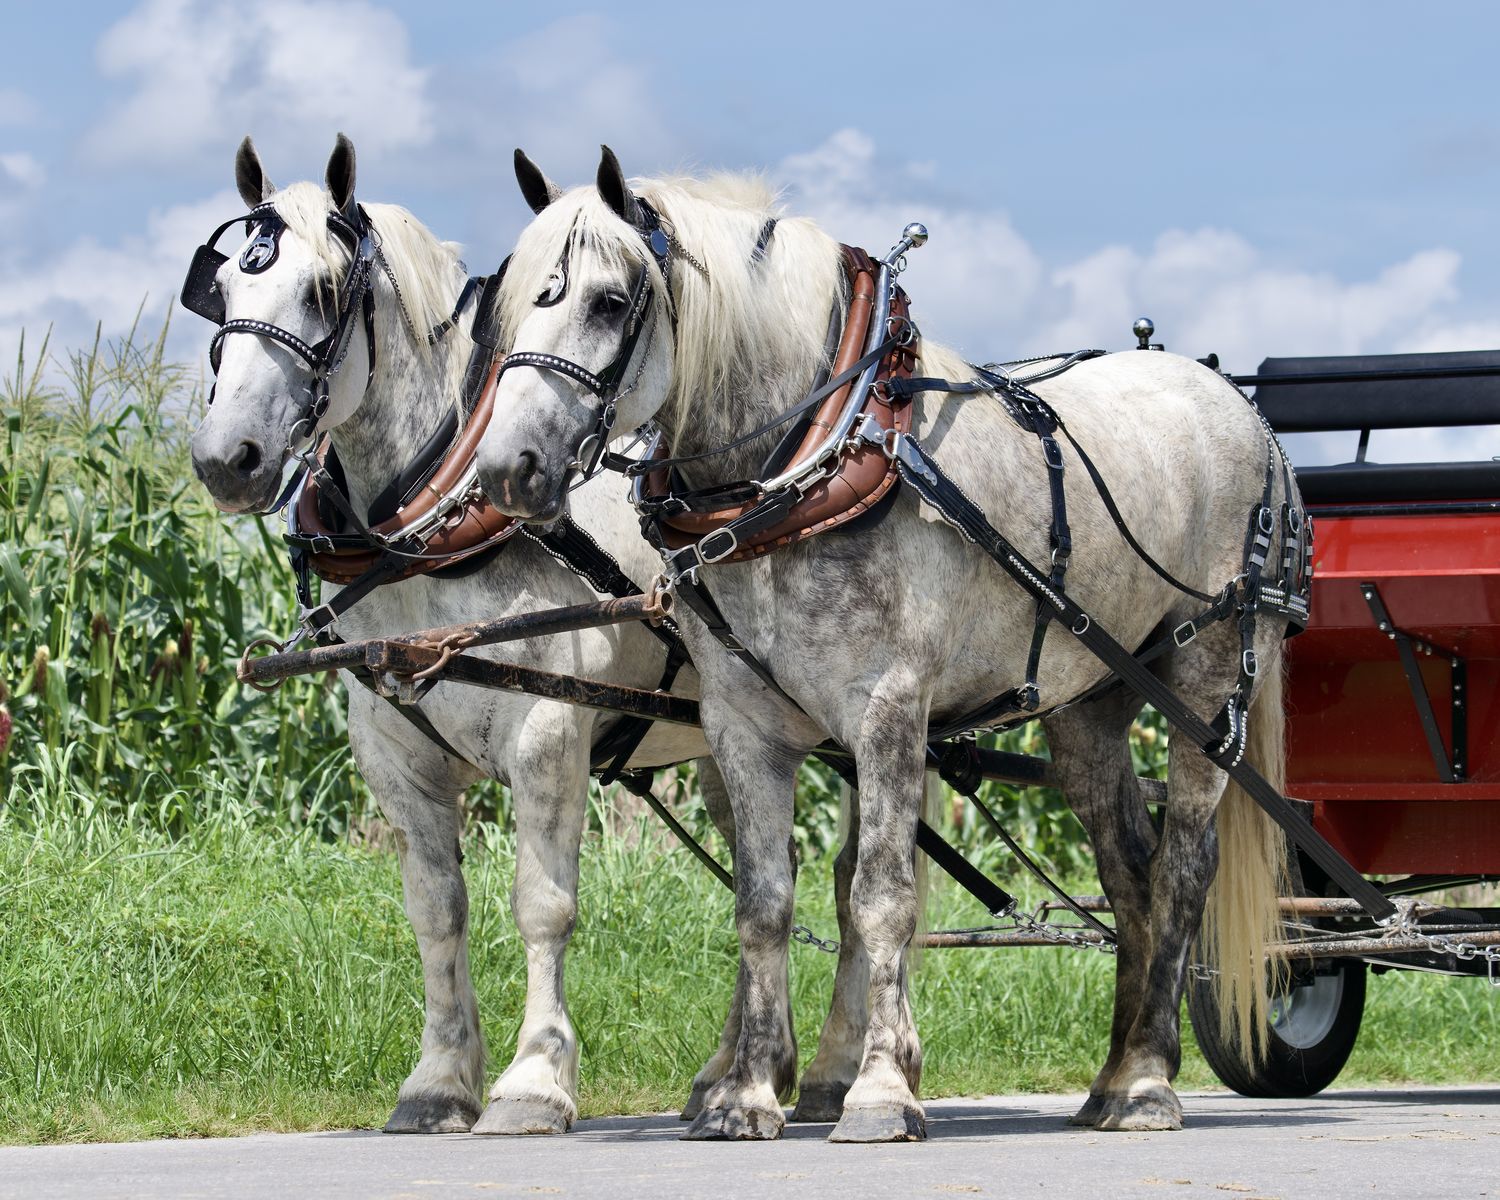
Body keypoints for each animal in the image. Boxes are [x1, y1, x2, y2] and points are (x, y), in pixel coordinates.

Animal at [185, 134, 742, 1136]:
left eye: (321, 293)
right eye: (224, 288)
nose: (225, 458)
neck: (426, 529)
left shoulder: (547, 738)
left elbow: (542, 905)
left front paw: (535, 1079)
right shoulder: (394, 757)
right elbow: (437, 914)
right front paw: (439, 1080)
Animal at [475, 147, 1297, 1143]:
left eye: (605, 301)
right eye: (510, 305)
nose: (505, 469)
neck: (808, 462)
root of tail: (1241, 409)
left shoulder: (890, 711)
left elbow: (881, 898)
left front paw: (877, 1090)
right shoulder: (743, 724)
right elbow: (763, 905)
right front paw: (744, 1095)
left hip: (1210, 678)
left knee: (1180, 871)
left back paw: (1146, 1082)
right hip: (1090, 707)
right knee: (1128, 877)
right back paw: (1114, 1075)